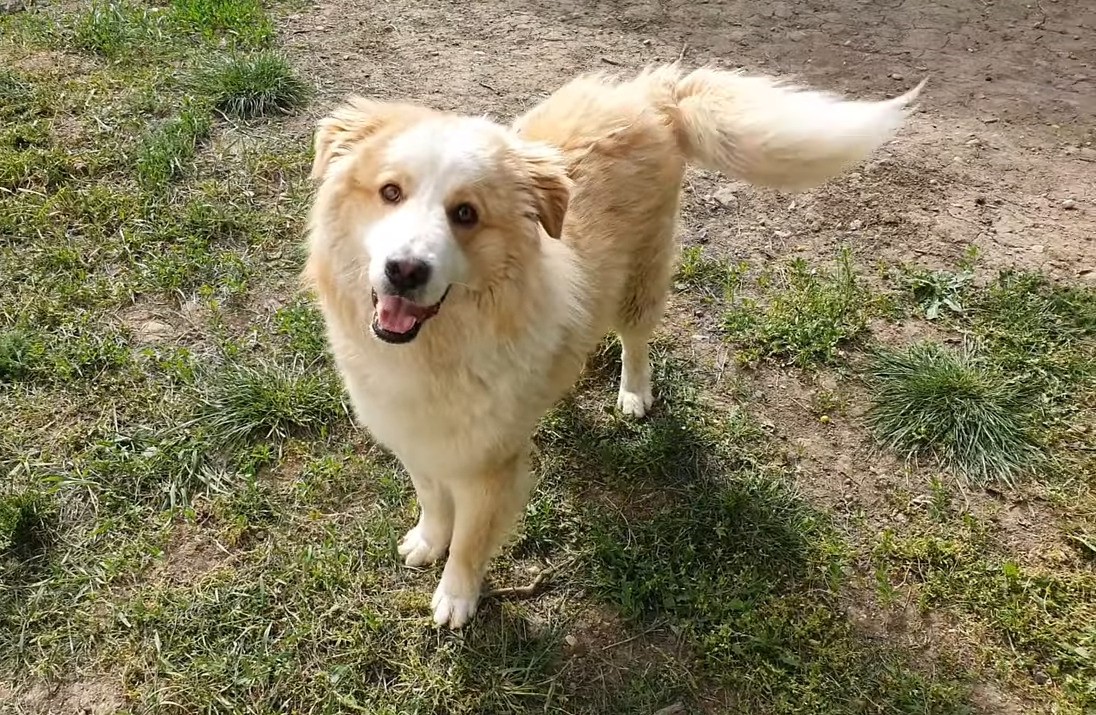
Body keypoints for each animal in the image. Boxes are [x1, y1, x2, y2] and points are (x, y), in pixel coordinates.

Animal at [302, 64, 925, 627]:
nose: (404, 271)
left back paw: (633, 394)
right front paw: (428, 542)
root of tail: (650, 93)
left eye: (466, 214)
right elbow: (433, 501)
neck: (437, 349)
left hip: (641, 282)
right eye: (390, 192)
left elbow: (472, 543)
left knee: (635, 341)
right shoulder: (416, 440)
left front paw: (456, 597)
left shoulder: (490, 468)